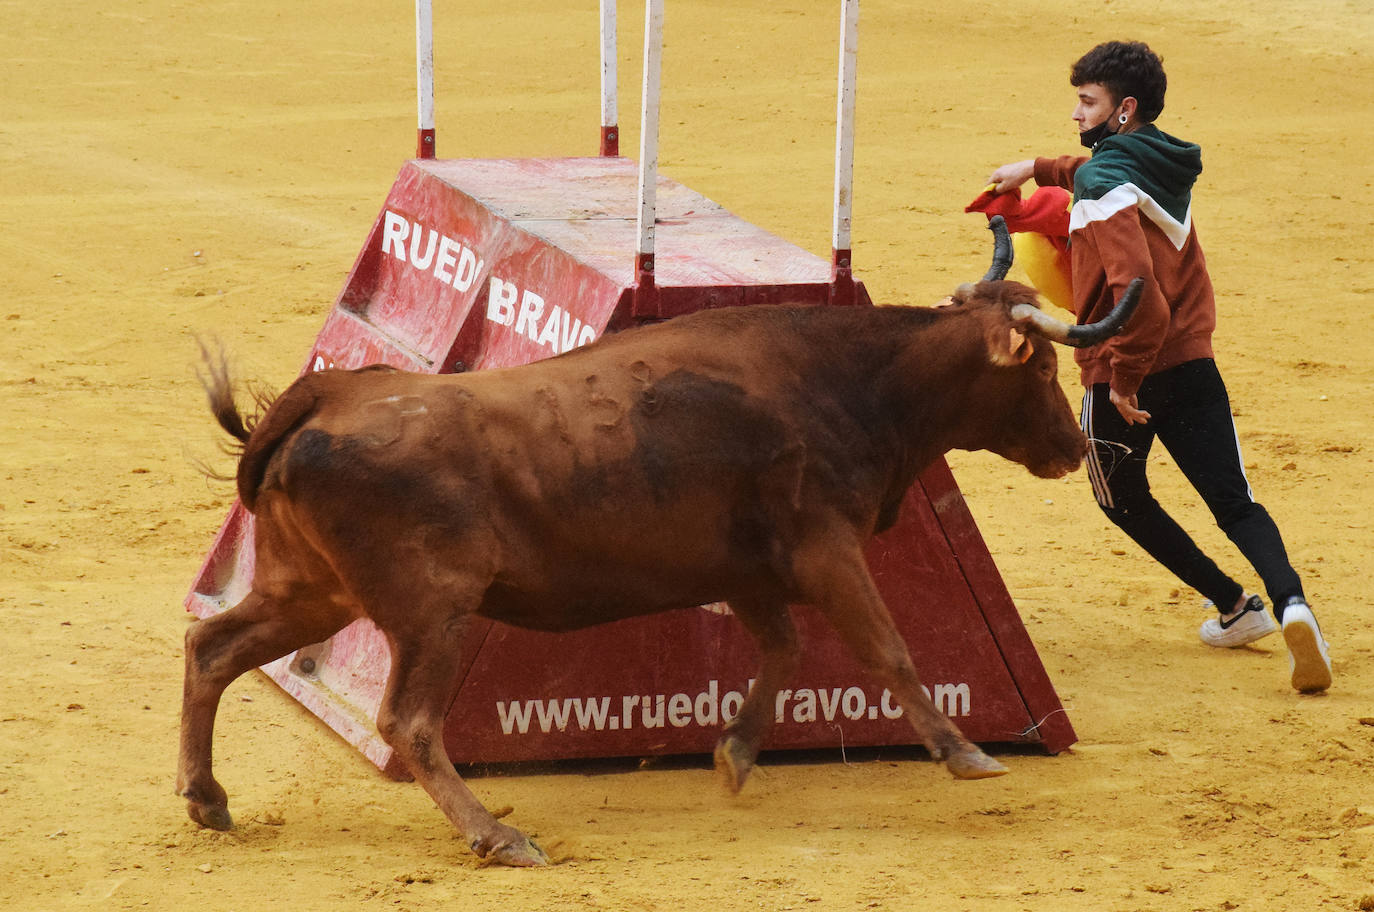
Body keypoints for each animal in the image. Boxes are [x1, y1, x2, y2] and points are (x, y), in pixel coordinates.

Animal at [177, 219, 1137, 862]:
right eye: (1044, 366)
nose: (1073, 447)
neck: (852, 380)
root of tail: (330, 395)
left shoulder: (751, 572)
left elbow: (785, 653)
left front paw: (736, 754)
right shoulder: (826, 551)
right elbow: (889, 649)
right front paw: (966, 753)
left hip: (311, 590)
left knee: (212, 647)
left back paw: (207, 798)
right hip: (433, 613)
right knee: (407, 722)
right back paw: (497, 836)